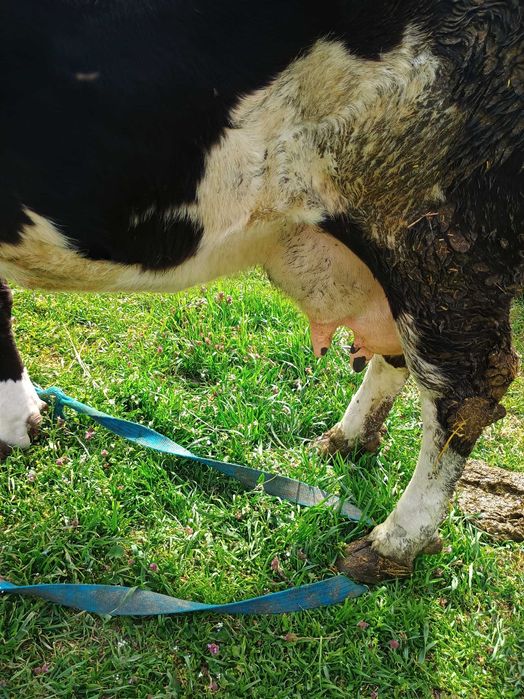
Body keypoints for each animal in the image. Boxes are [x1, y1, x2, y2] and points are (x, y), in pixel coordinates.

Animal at [0, 0, 522, 584]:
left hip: (434, 229)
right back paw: (345, 441)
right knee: (399, 354)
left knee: (464, 387)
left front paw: (16, 428)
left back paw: (391, 545)